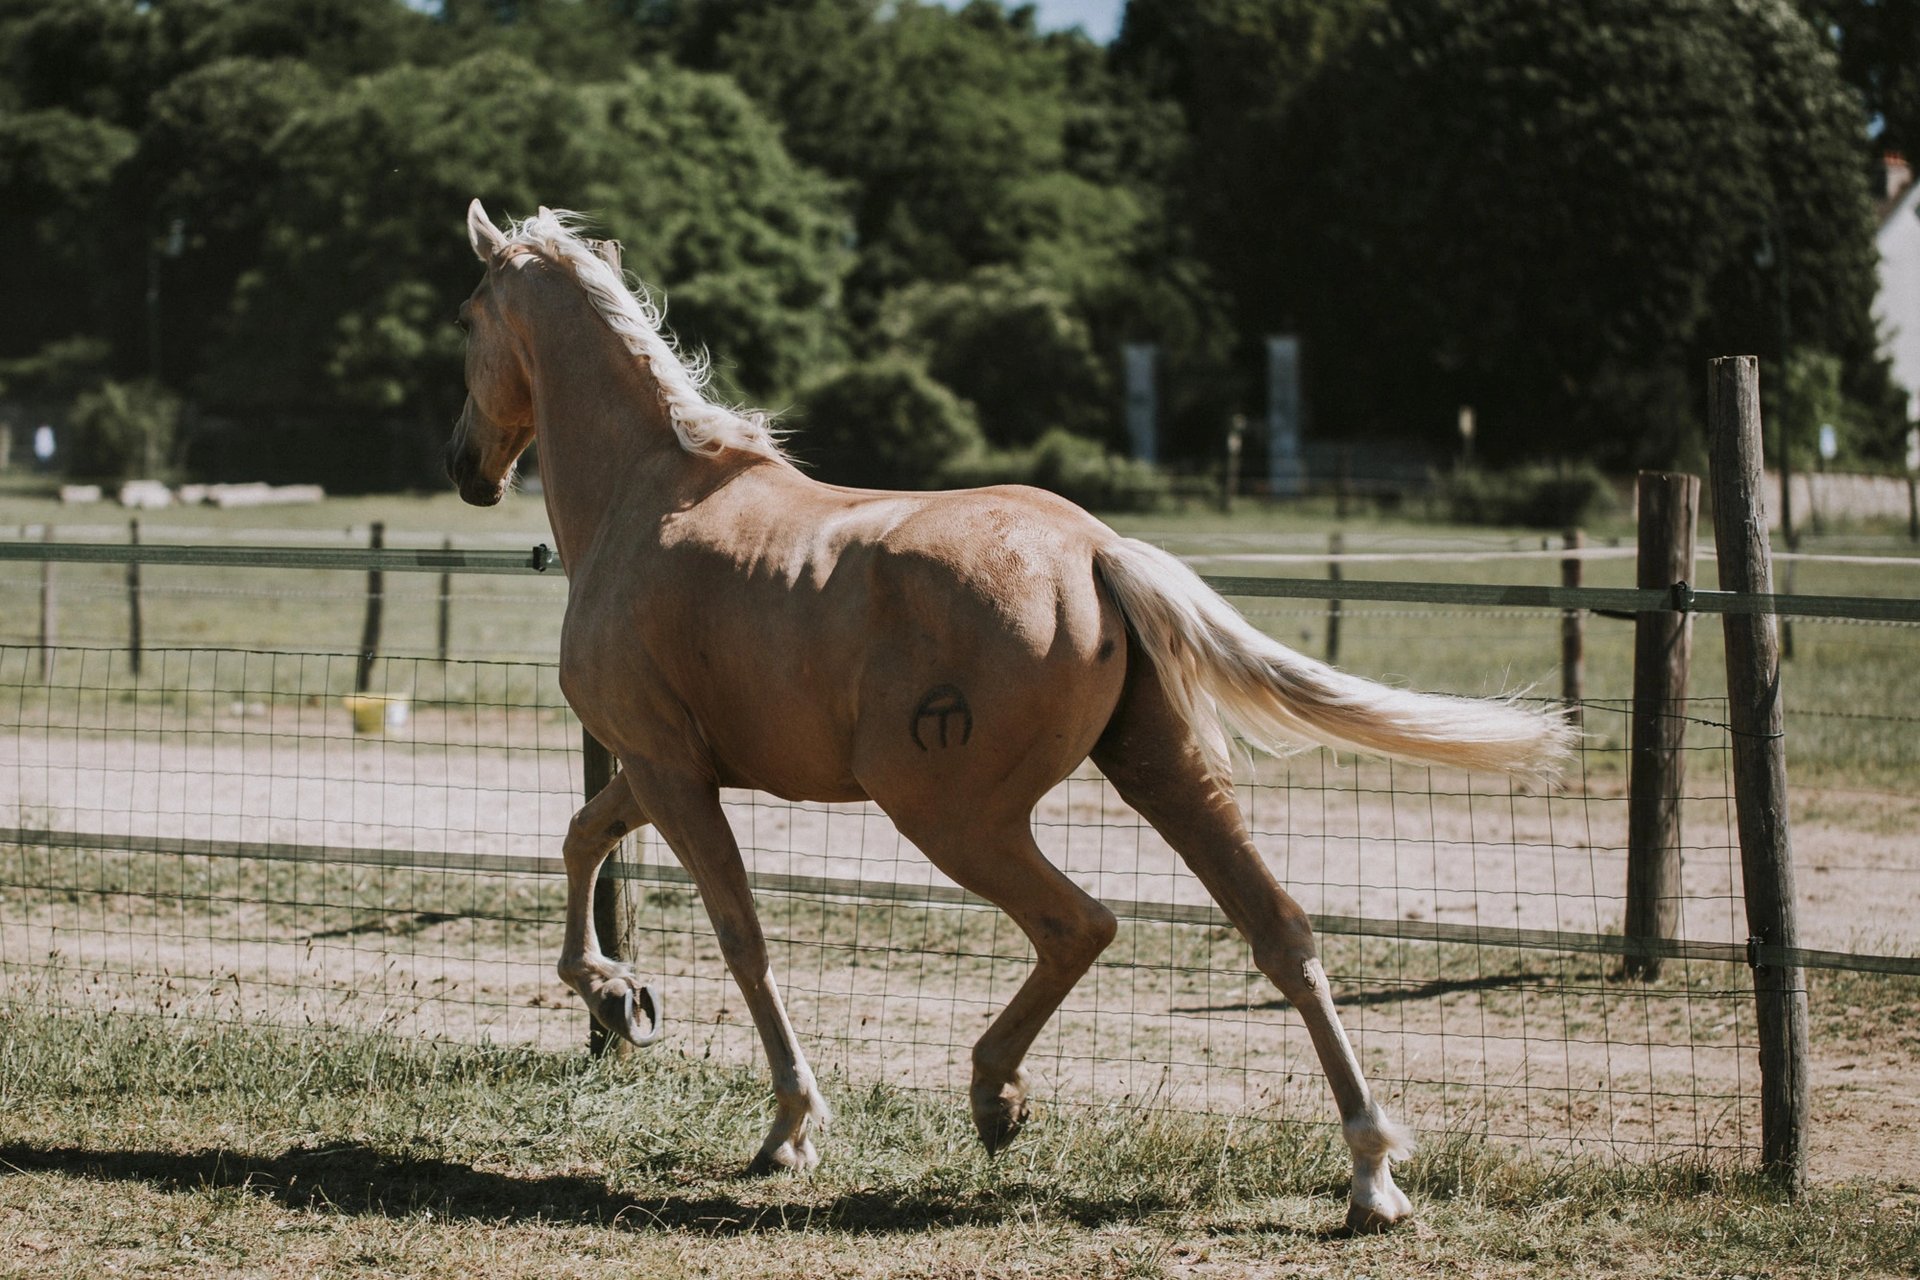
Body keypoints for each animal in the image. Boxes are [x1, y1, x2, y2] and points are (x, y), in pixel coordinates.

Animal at [446, 199, 1572, 1232]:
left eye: (465, 316)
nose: (464, 467)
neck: (650, 498)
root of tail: (1097, 551)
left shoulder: (670, 770)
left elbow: (739, 933)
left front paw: (785, 1126)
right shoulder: (662, 766)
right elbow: (581, 837)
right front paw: (615, 996)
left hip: (950, 814)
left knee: (1080, 923)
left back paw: (997, 1096)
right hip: (1155, 766)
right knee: (1281, 930)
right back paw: (1372, 1175)